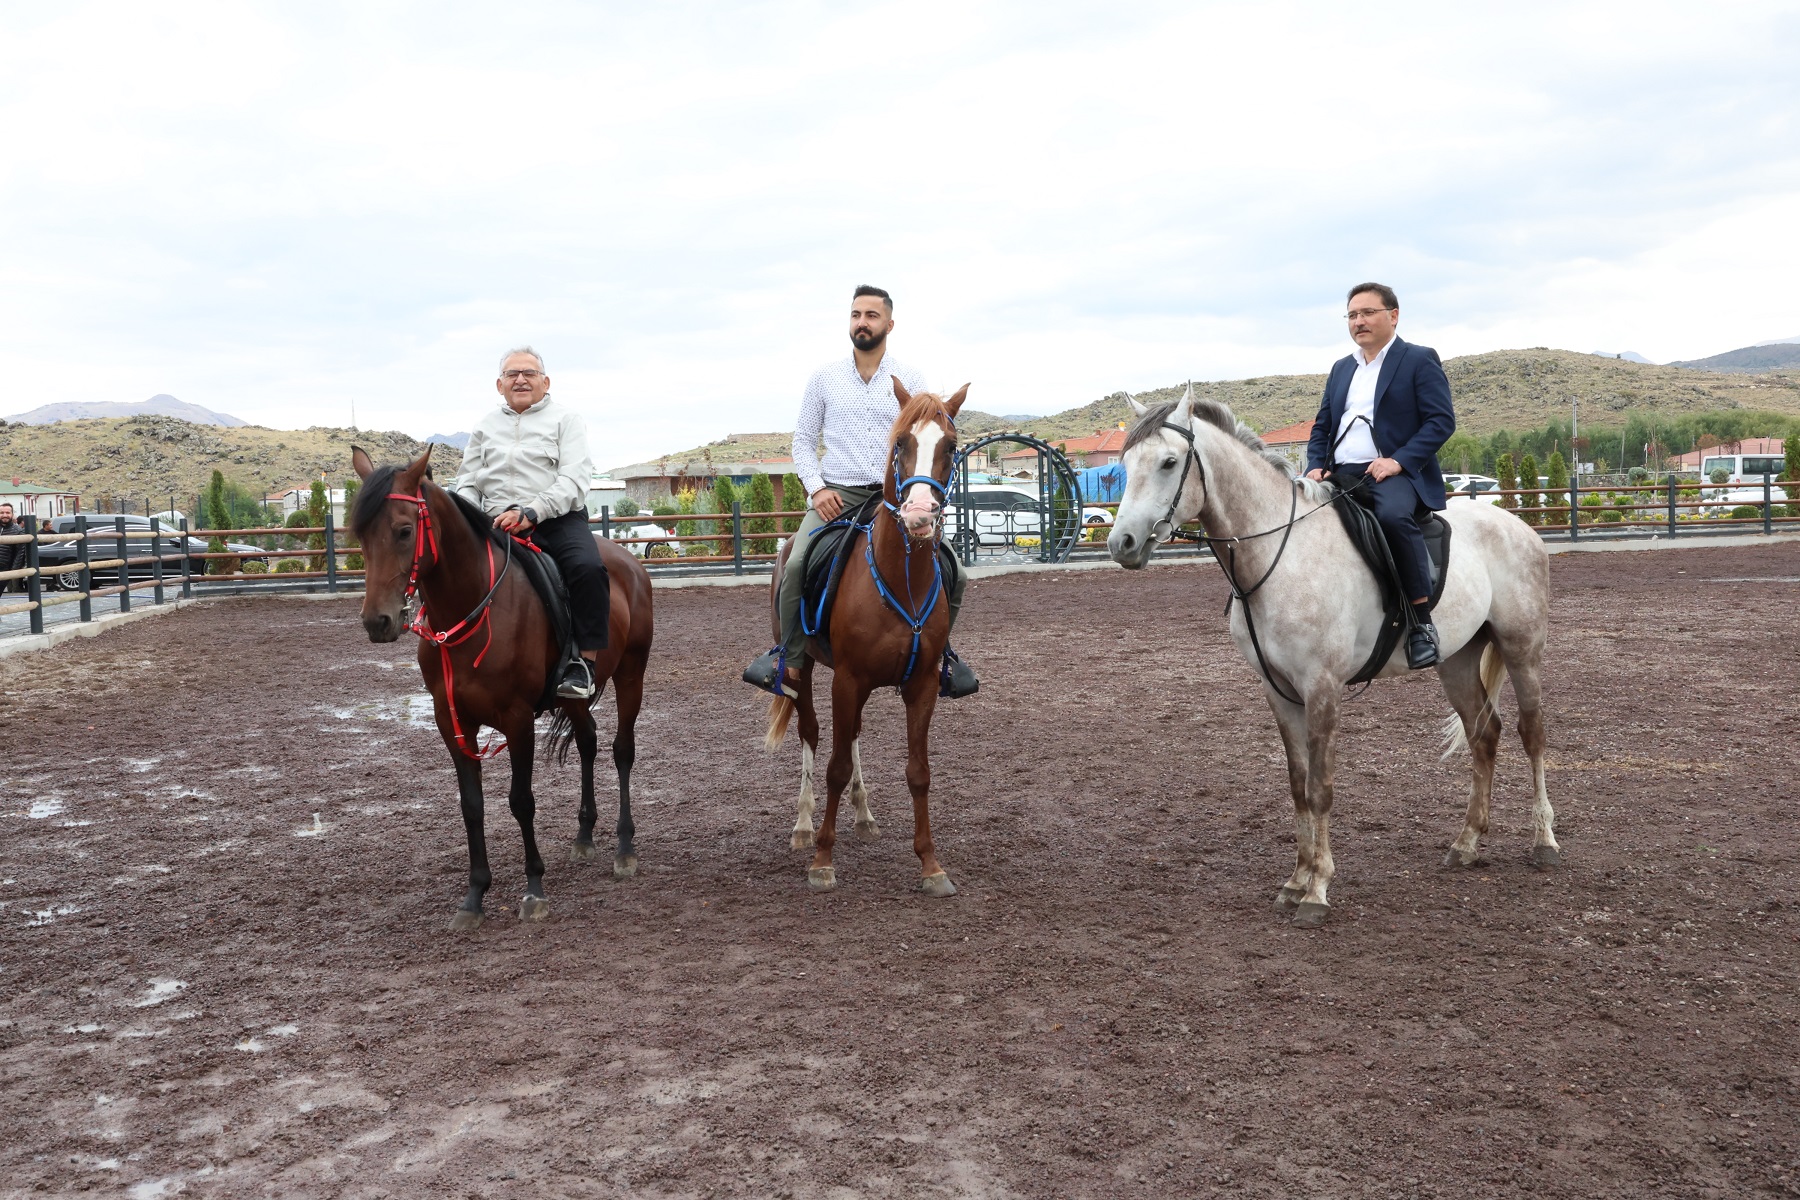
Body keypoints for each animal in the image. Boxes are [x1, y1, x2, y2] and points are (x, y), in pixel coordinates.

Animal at [345, 446, 655, 935]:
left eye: (404, 530)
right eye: (358, 533)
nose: (378, 622)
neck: (473, 608)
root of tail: (630, 564)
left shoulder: (517, 719)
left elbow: (521, 802)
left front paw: (534, 890)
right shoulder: (452, 721)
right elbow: (472, 805)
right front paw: (474, 896)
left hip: (631, 675)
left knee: (622, 751)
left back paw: (625, 848)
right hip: (574, 697)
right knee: (588, 742)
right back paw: (584, 835)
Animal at [770, 379, 979, 895]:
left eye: (951, 446)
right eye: (900, 443)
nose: (920, 514)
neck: (899, 578)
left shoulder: (921, 685)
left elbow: (918, 772)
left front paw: (931, 865)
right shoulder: (846, 680)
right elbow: (834, 767)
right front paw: (823, 860)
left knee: (854, 736)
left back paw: (863, 814)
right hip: (803, 671)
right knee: (812, 734)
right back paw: (804, 826)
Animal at [1101, 390, 1555, 928]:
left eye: (1170, 462)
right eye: (1125, 465)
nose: (1122, 543)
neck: (1279, 556)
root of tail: (1516, 524)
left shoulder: (1321, 687)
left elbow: (1321, 787)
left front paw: (1317, 890)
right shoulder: (1279, 691)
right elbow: (1298, 785)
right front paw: (1296, 881)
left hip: (1522, 648)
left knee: (1532, 734)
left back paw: (1544, 842)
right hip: (1457, 660)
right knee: (1484, 735)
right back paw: (1466, 844)